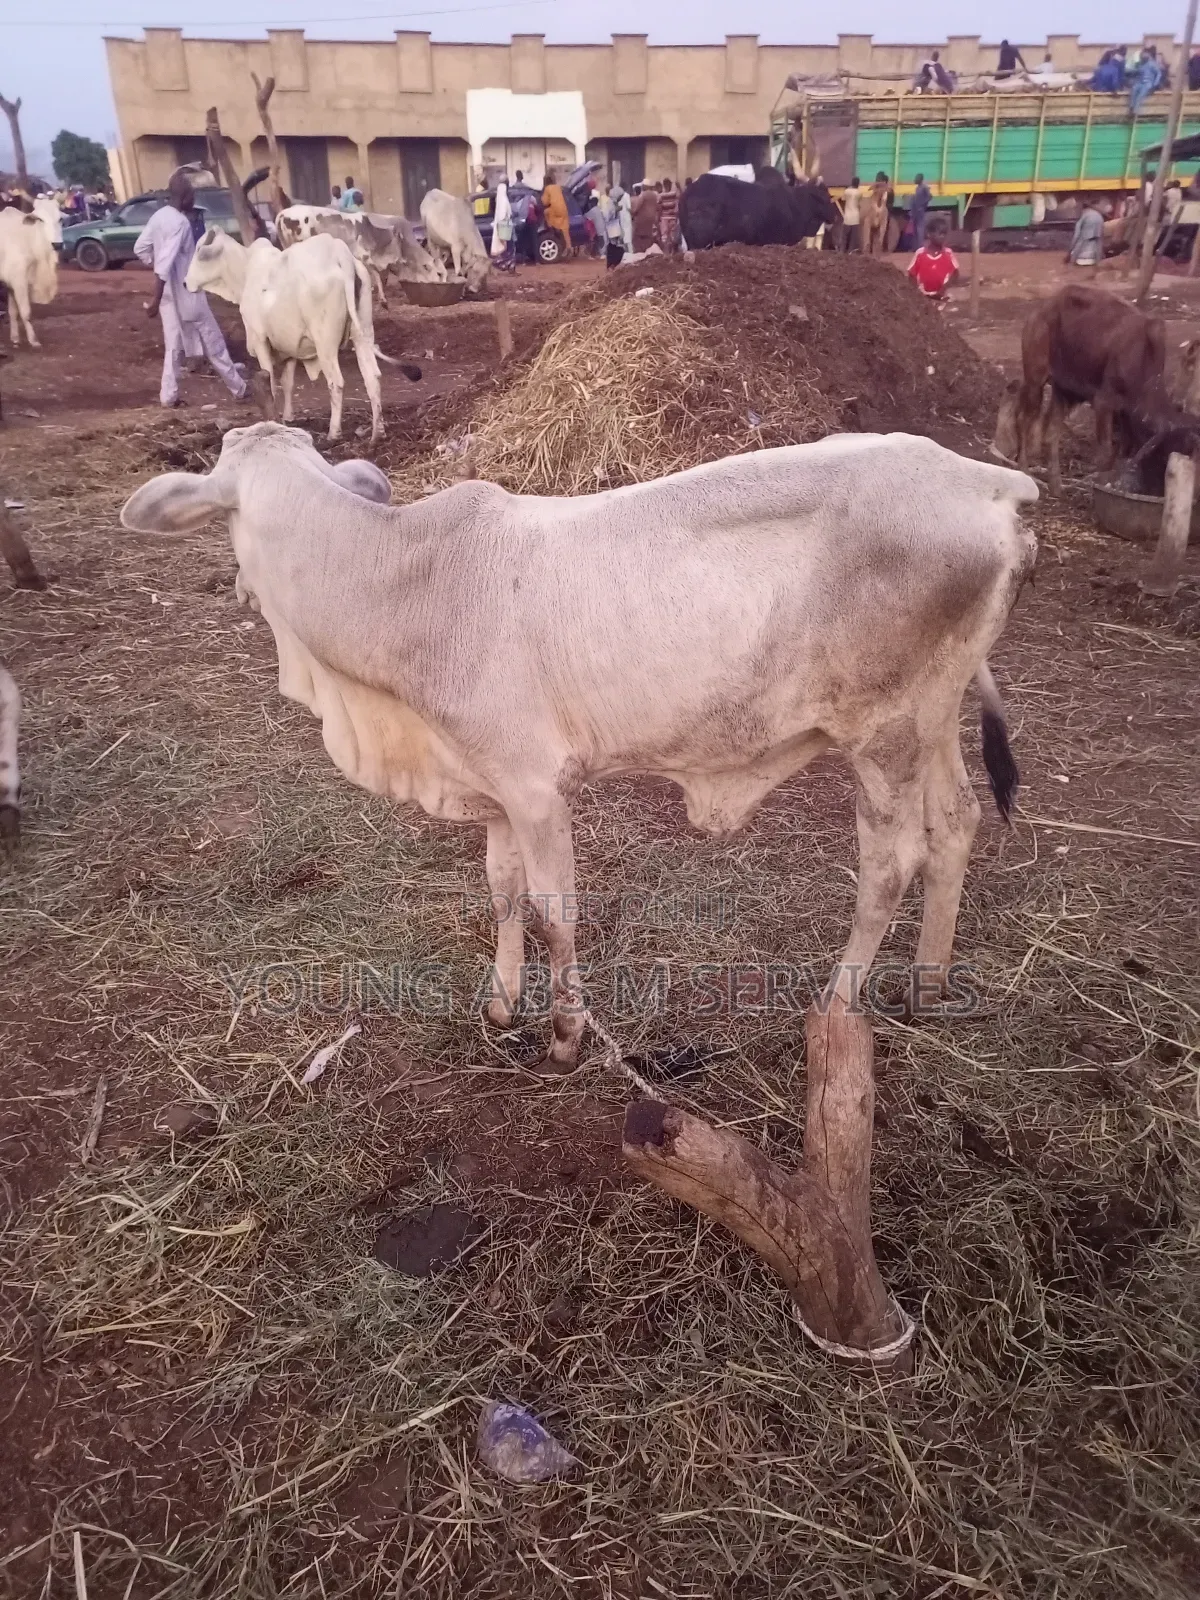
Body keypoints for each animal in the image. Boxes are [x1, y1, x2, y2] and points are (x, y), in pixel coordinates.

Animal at [0, 211, 58, 348]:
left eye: (59, 218)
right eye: (41, 219)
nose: (56, 243)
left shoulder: (11, 284)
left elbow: (12, 311)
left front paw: (15, 338)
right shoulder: (19, 281)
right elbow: (26, 312)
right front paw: (33, 340)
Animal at [121, 422, 1037, 1071]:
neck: (411, 583)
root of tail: (991, 483)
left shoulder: (534, 788)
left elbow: (553, 910)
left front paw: (564, 1037)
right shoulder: (488, 784)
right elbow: (500, 892)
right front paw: (500, 1004)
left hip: (881, 735)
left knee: (891, 862)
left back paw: (838, 1004)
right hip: (931, 717)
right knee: (955, 824)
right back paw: (929, 983)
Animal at [184, 229, 420, 443]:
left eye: (198, 250)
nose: (185, 283)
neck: (244, 273)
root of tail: (338, 251)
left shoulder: (260, 340)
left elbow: (270, 383)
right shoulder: (290, 348)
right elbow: (288, 382)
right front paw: (288, 418)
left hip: (325, 342)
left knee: (336, 382)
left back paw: (333, 433)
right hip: (362, 333)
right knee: (373, 378)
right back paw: (377, 434)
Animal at [276, 206, 445, 306]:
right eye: (439, 273)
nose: (443, 284)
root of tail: (283, 214)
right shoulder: (363, 257)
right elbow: (376, 275)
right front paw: (381, 299)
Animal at [992, 284, 1196, 496]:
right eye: (1164, 454)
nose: (1159, 490)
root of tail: (1041, 310)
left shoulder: (1124, 413)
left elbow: (1123, 450)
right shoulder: (1103, 403)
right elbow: (1106, 452)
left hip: (1064, 392)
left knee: (1050, 433)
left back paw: (1056, 487)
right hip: (1036, 380)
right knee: (1024, 420)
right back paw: (1025, 472)